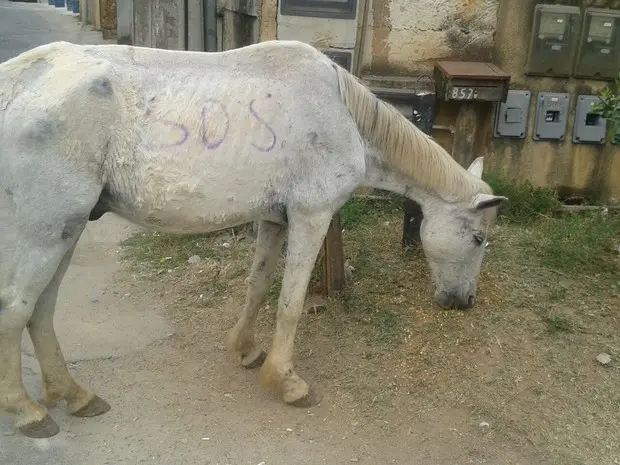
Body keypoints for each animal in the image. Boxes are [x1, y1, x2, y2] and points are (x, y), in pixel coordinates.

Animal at [0, 38, 506, 436]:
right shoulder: (311, 217)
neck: (341, 113)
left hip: (67, 231)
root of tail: (17, 80)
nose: (464, 301)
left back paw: (74, 395)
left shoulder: (275, 220)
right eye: (478, 239)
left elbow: (259, 286)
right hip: (47, 232)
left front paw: (245, 349)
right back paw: (28, 411)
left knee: (41, 311)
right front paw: (286, 381)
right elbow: (291, 303)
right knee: (16, 310)